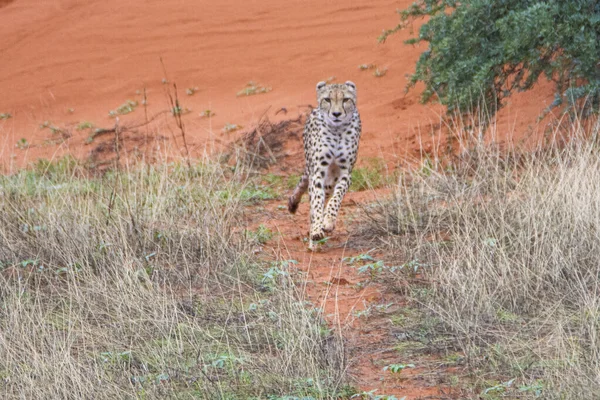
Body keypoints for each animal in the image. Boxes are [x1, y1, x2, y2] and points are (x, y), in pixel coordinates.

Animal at [288, 80, 360, 250]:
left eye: (345, 100)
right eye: (327, 99)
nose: (336, 114)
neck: (337, 130)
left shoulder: (345, 173)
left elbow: (336, 199)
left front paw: (328, 222)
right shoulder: (318, 172)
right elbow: (316, 204)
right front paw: (316, 230)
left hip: (330, 180)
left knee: (327, 196)